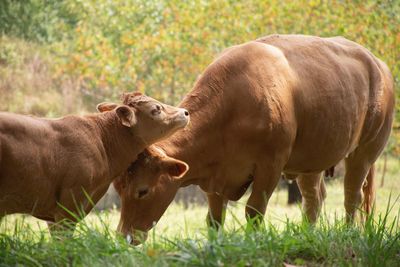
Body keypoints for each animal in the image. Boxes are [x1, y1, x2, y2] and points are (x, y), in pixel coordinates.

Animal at [114, 35, 396, 245]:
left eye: (142, 190)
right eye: (119, 189)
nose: (123, 236)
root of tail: (377, 63)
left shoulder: (270, 165)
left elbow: (254, 211)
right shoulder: (215, 175)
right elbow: (214, 218)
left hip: (366, 151)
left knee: (352, 194)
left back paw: (348, 232)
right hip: (312, 158)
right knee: (314, 198)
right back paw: (307, 234)